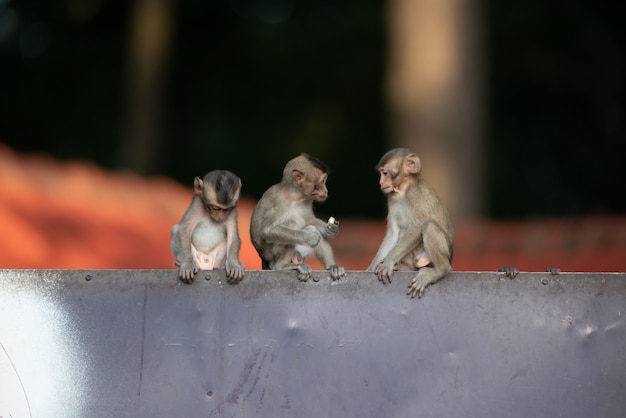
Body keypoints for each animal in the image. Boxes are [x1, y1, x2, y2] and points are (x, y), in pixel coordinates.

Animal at [366, 149, 454, 298]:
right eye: (381, 174)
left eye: (385, 173)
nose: (381, 182)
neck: (403, 190)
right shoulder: (392, 198)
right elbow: (394, 233)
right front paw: (372, 267)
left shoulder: (415, 196)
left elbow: (417, 227)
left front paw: (387, 262)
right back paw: (406, 267)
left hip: (444, 253)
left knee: (429, 226)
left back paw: (440, 270)